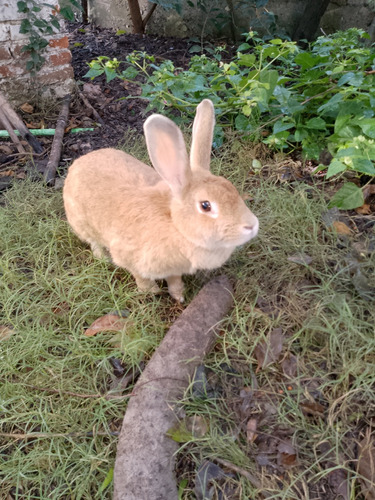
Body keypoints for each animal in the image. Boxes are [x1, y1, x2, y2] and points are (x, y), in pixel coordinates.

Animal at [64, 97, 258, 300]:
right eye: (205, 205)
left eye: (232, 188)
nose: (252, 226)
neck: (176, 225)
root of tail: (79, 162)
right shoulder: (131, 259)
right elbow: (140, 277)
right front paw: (151, 292)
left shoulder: (174, 269)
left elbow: (174, 279)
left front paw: (179, 295)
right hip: (82, 224)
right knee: (94, 243)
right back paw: (104, 257)